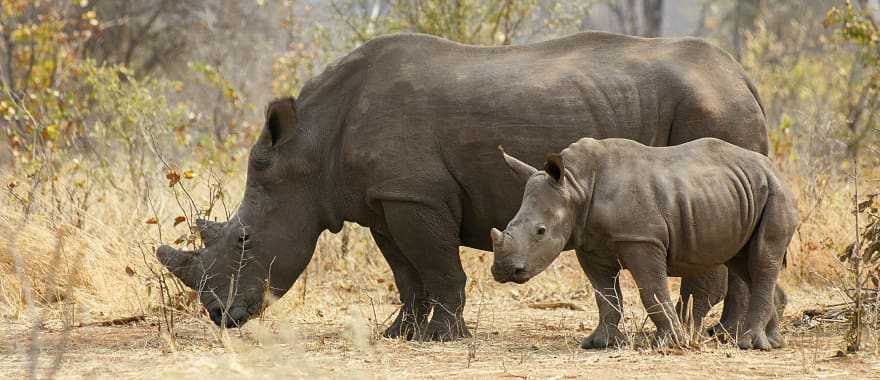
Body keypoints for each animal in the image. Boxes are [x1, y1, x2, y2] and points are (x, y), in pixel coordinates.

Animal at [158, 31, 768, 342]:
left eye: (243, 241)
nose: (218, 314)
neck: (308, 145)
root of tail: (742, 74)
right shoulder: (384, 198)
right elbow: (405, 274)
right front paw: (399, 333)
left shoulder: (415, 195)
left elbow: (437, 267)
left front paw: (446, 337)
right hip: (718, 107)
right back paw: (729, 336)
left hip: (710, 108)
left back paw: (713, 336)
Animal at [492, 137, 800, 350]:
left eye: (541, 231)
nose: (503, 271)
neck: (576, 185)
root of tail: (772, 167)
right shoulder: (589, 245)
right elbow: (605, 294)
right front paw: (599, 343)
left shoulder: (641, 239)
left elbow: (651, 289)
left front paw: (668, 343)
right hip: (739, 193)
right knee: (743, 261)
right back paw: (773, 342)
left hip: (777, 193)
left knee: (762, 258)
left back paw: (750, 344)